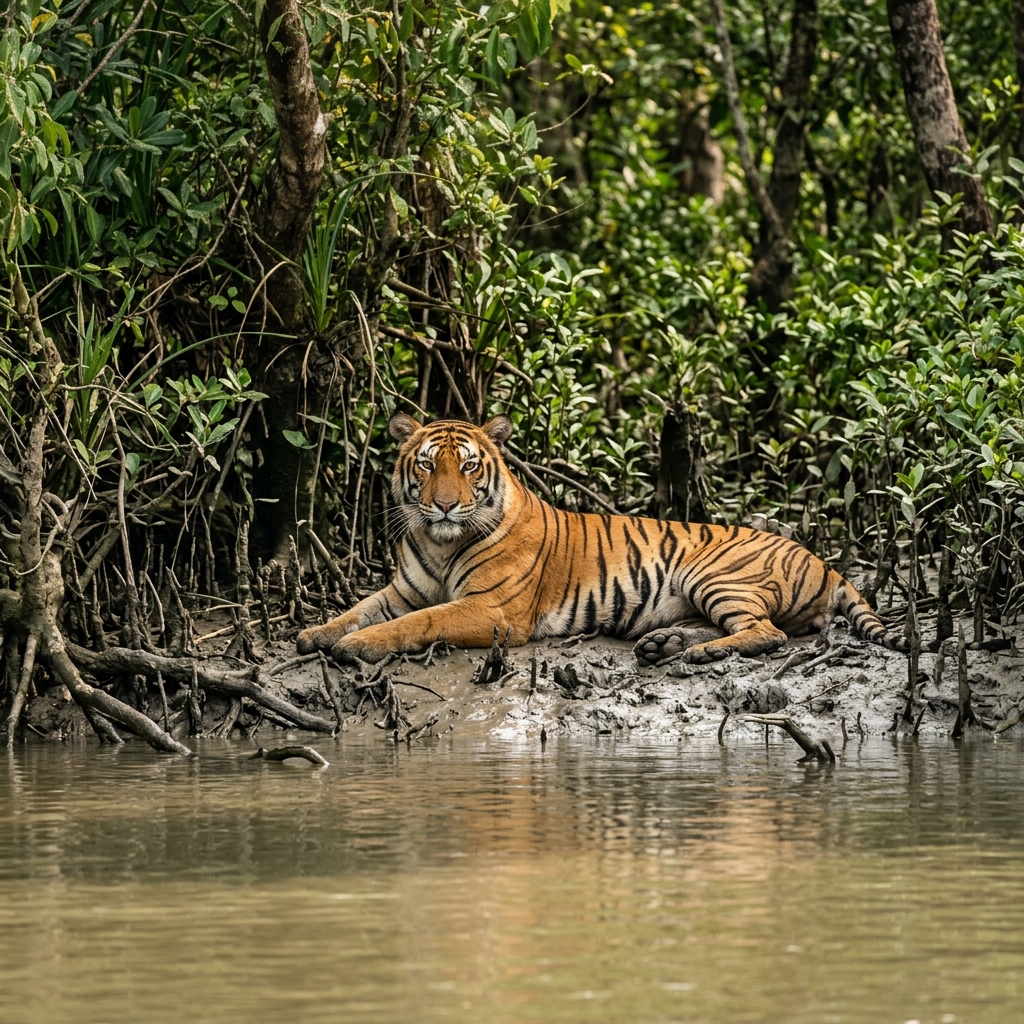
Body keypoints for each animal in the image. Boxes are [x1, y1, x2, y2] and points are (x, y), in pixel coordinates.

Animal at [296, 414, 907, 666]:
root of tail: (825, 561)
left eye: (468, 467)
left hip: (713, 573)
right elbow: (359, 608)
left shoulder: (492, 609)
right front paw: (315, 634)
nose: (445, 504)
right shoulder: (404, 589)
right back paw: (666, 644)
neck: (441, 542)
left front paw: (356, 647)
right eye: (426, 465)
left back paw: (695, 654)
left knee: (767, 634)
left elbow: (417, 623)